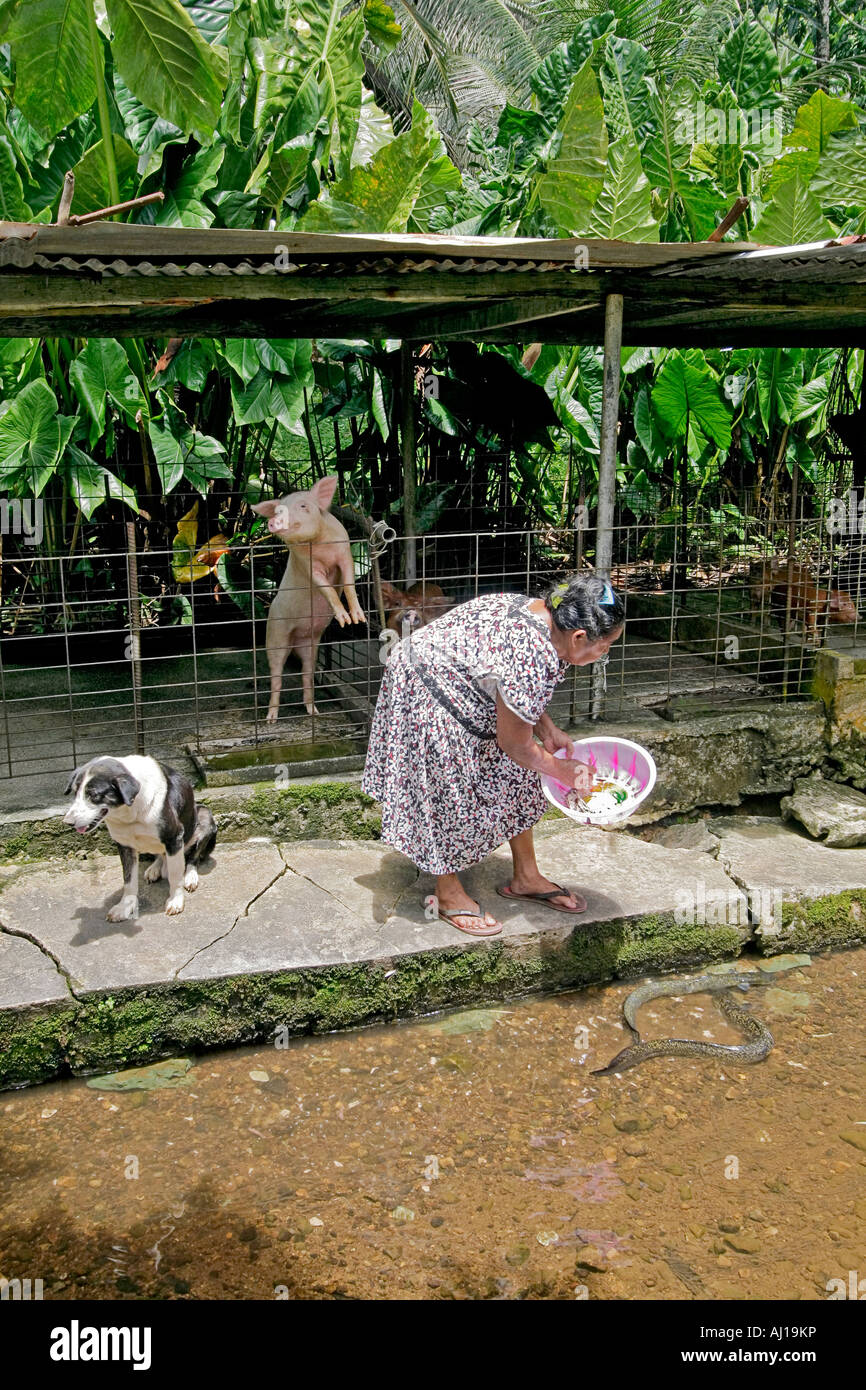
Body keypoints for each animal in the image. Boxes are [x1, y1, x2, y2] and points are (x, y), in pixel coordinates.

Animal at [63, 756, 216, 917]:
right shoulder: (124, 845)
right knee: (161, 855)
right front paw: (125, 906)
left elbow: (175, 875)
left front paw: (176, 901)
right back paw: (155, 868)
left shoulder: (174, 837)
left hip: (205, 816)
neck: (130, 811)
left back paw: (190, 876)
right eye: (74, 793)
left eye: (94, 795)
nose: (68, 822)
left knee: (192, 858)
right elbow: (128, 879)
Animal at [250, 472, 366, 722]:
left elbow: (349, 583)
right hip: (276, 635)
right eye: (278, 510)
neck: (320, 543)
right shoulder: (308, 565)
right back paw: (271, 719)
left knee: (307, 673)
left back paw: (314, 712)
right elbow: (326, 588)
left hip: (312, 644)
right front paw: (344, 620)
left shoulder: (345, 552)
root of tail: (297, 640)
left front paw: (356, 620)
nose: (273, 521)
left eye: (303, 506)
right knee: (277, 676)